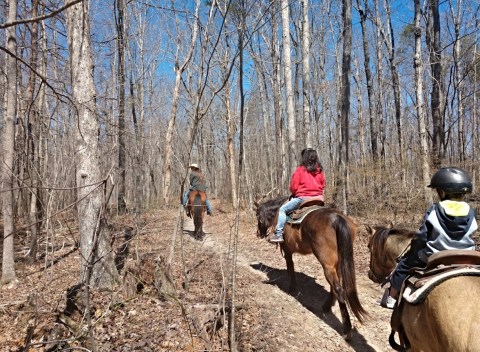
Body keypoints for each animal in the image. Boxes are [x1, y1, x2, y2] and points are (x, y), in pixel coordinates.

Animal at [255, 195, 368, 338]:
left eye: (257, 214)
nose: (258, 233)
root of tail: (337, 218)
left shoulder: (287, 250)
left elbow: (290, 268)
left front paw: (291, 288)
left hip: (327, 264)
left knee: (338, 289)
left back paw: (346, 330)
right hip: (336, 264)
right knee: (335, 286)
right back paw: (326, 306)